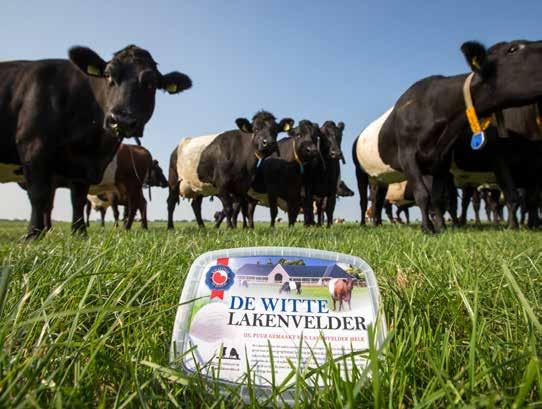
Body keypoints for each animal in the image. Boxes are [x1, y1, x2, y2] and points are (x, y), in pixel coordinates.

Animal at [0, 45, 191, 238]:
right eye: (108, 75)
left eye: (151, 83)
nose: (121, 120)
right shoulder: (43, 154)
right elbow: (55, 198)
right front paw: (60, 232)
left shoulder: (42, 151)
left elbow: (53, 197)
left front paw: (38, 234)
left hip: (132, 184)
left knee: (137, 204)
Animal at [353, 40, 542, 233]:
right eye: (513, 49)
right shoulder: (407, 157)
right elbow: (422, 194)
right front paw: (428, 228)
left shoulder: (441, 162)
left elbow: (437, 198)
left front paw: (441, 228)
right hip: (361, 172)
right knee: (366, 201)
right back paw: (366, 224)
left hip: (381, 177)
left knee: (378, 199)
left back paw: (378, 223)